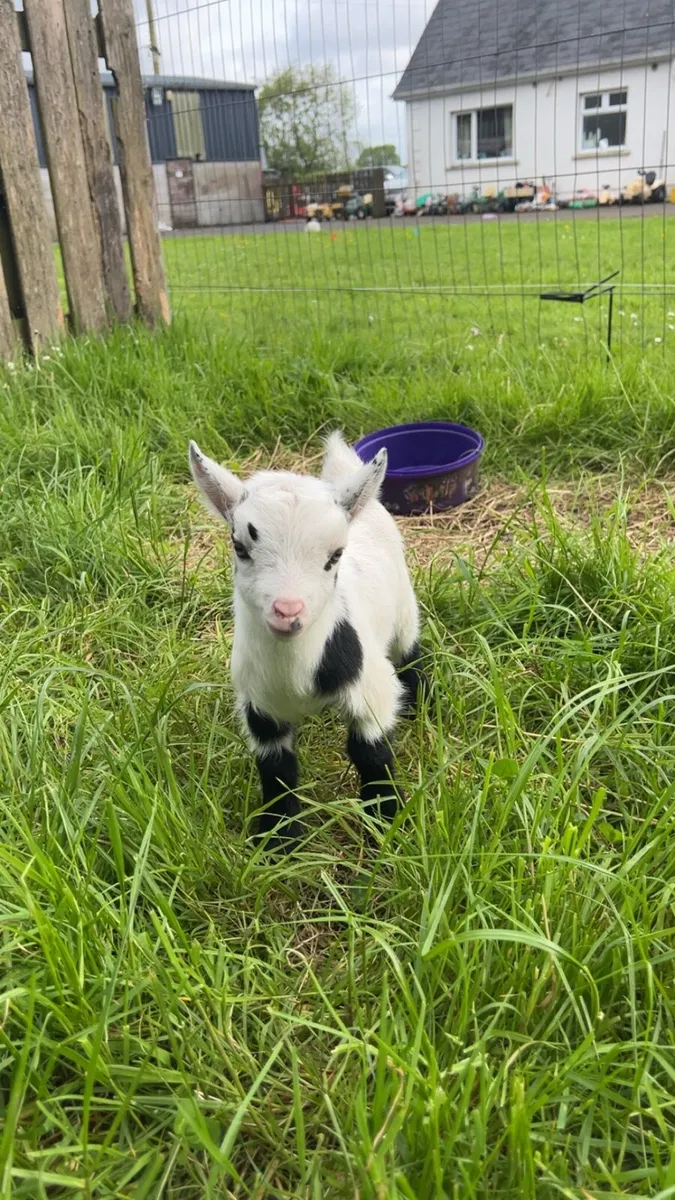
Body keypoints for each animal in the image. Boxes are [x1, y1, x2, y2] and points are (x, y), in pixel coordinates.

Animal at [188, 433, 425, 849]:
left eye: (335, 555)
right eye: (240, 547)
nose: (287, 610)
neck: (296, 676)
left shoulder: (373, 690)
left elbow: (370, 753)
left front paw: (385, 821)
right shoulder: (259, 705)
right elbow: (276, 768)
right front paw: (279, 840)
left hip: (403, 606)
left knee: (409, 649)